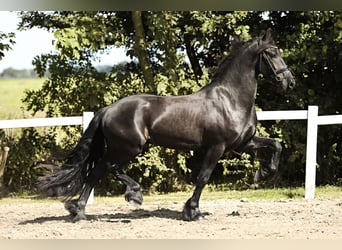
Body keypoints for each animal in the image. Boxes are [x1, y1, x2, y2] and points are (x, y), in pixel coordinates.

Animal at [38, 28, 296, 222]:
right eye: (272, 53)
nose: (289, 83)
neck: (230, 99)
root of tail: (107, 110)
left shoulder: (243, 143)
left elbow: (276, 144)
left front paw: (263, 174)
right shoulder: (217, 147)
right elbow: (203, 178)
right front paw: (192, 211)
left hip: (126, 147)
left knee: (97, 171)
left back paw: (80, 211)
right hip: (129, 146)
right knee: (106, 167)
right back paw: (129, 196)